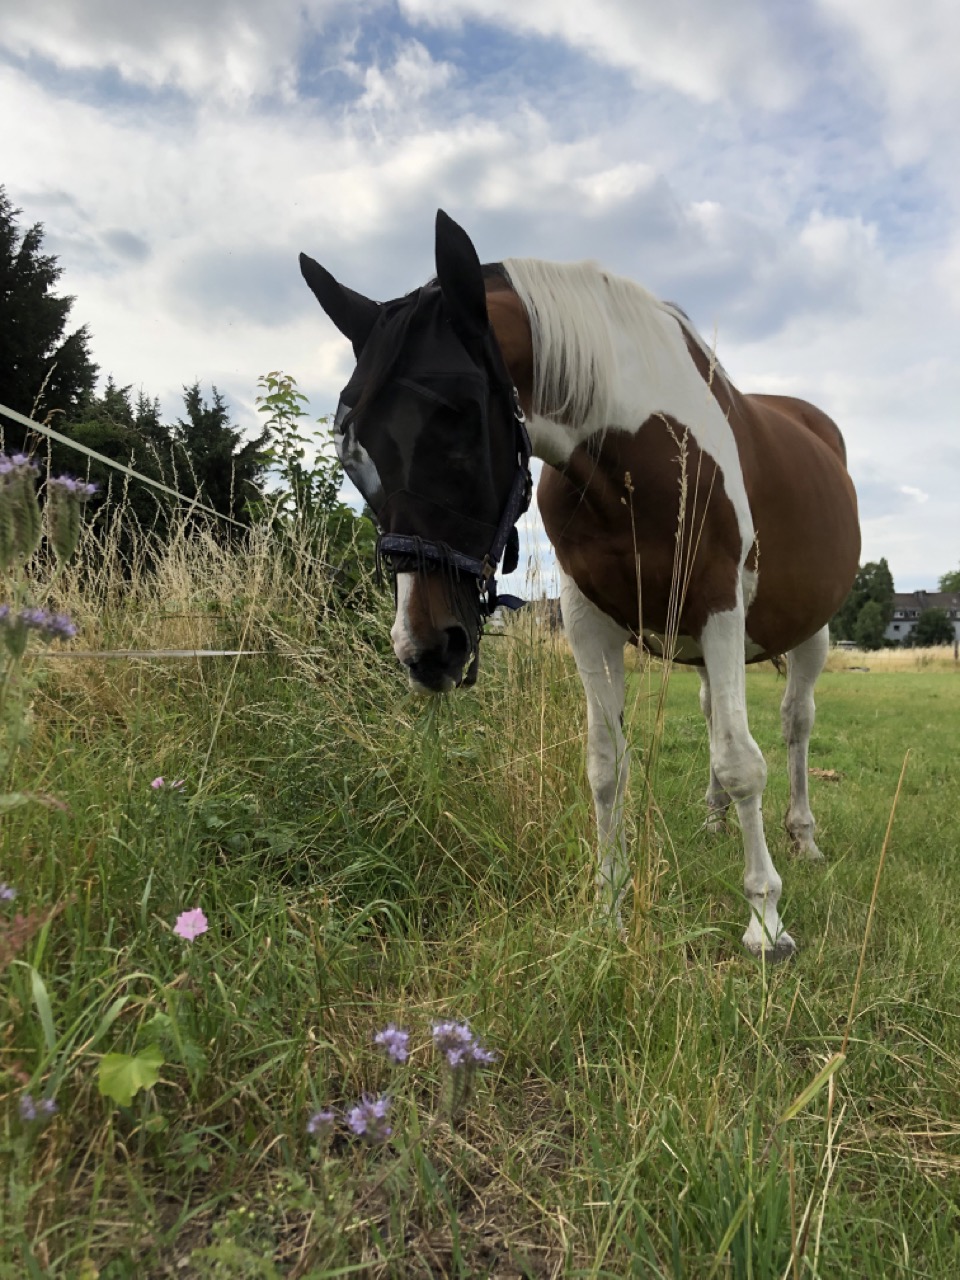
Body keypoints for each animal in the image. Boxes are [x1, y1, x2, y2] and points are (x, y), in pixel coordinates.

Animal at [299, 210, 861, 961]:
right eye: (351, 447)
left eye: (458, 415)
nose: (426, 651)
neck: (641, 458)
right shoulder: (591, 623)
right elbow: (605, 766)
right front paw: (606, 911)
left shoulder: (718, 605)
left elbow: (745, 761)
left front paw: (766, 921)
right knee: (715, 713)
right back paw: (714, 819)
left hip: (808, 634)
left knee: (795, 725)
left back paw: (802, 836)